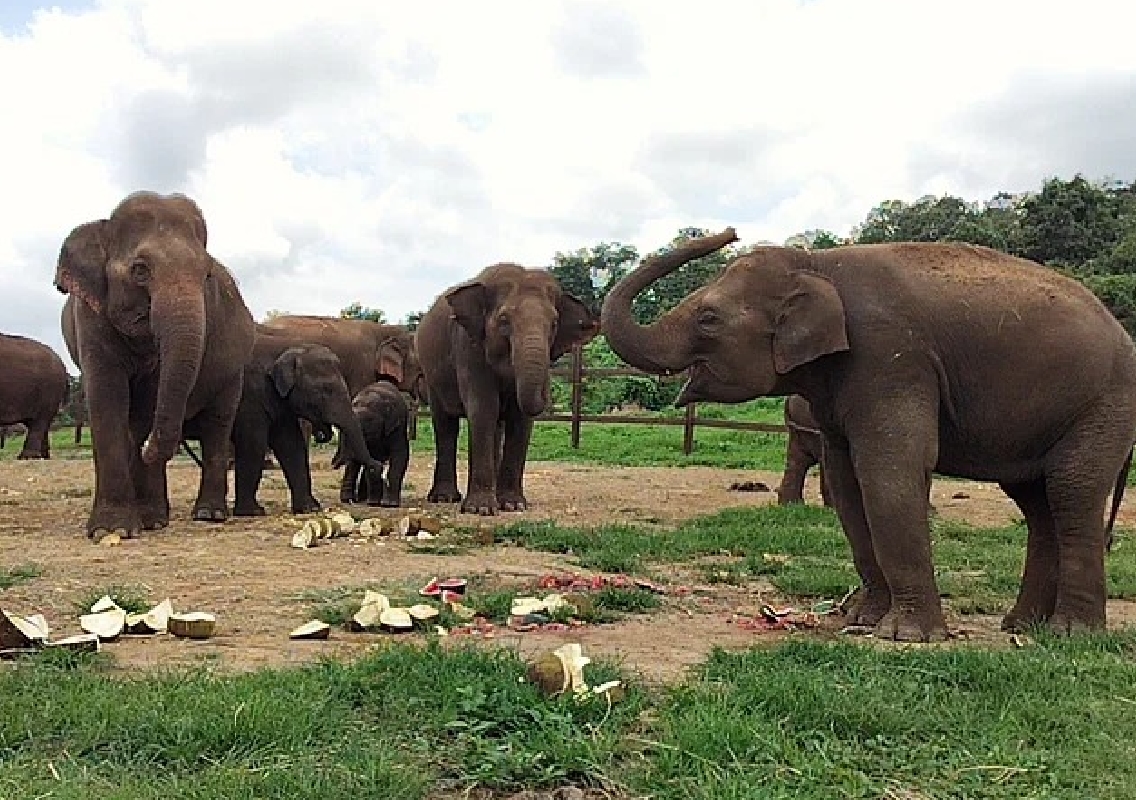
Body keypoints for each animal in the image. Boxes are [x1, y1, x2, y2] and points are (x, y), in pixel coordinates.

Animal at [56, 191, 256, 539]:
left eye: (206, 276)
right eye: (139, 270)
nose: (147, 448)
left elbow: (148, 401)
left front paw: (146, 521)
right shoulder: (90, 315)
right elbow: (107, 398)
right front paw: (113, 530)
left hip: (234, 373)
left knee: (217, 425)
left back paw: (209, 514)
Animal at [219, 326, 381, 516]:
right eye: (324, 391)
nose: (378, 466)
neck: (288, 345)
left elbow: (291, 444)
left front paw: (310, 508)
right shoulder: (250, 394)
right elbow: (253, 442)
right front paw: (253, 512)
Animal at [333, 379, 411, 507]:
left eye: (369, 420)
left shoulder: (398, 426)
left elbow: (400, 454)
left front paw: (390, 505)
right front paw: (374, 503)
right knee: (354, 464)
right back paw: (353, 500)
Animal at [416, 263, 599, 515]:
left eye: (554, 323)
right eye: (504, 320)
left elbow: (519, 417)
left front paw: (513, 505)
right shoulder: (468, 345)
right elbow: (484, 408)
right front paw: (480, 510)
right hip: (433, 376)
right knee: (445, 424)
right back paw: (444, 498)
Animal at [601, 228, 1136, 640]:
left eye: (709, 318)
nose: (729, 232)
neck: (816, 265)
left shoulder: (890, 356)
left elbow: (888, 473)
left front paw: (906, 636)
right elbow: (847, 482)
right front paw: (859, 620)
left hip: (1105, 404)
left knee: (1071, 492)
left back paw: (1071, 635)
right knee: (1037, 503)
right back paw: (1021, 627)